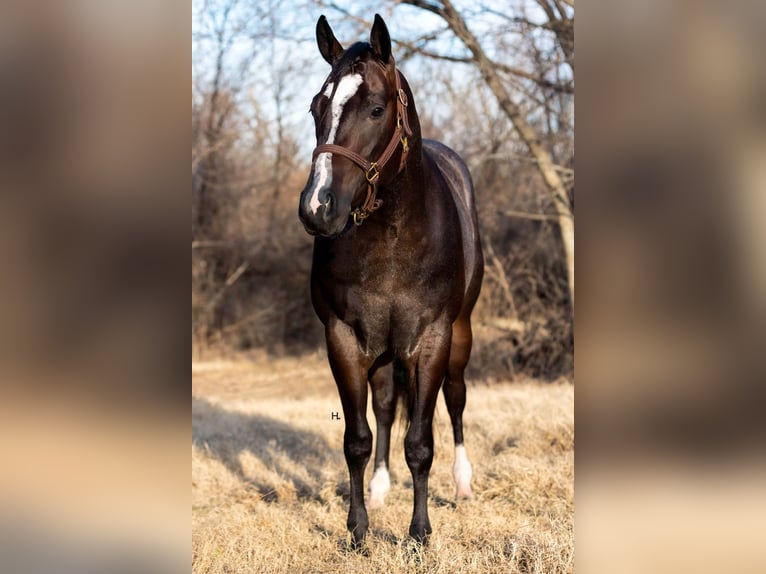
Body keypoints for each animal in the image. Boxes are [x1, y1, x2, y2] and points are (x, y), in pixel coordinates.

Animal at [298, 14, 483, 547]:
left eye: (376, 109)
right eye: (317, 106)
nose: (317, 207)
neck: (394, 238)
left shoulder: (433, 338)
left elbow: (421, 442)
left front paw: (419, 536)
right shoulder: (343, 337)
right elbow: (358, 439)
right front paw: (359, 531)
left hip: (460, 333)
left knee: (456, 399)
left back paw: (463, 484)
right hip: (381, 349)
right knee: (383, 406)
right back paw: (380, 490)